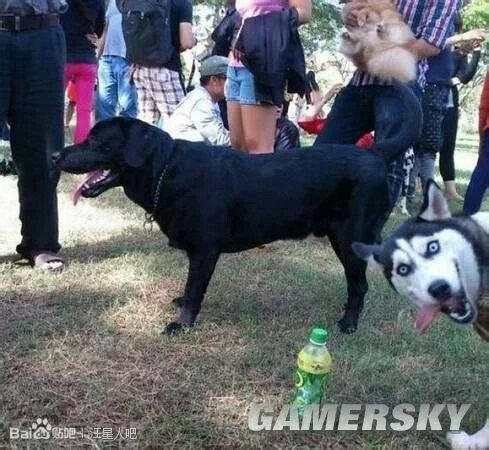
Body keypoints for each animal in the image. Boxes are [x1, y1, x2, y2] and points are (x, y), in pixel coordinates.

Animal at [55, 82, 420, 335]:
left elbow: (194, 289)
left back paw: (348, 323)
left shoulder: (205, 250)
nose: (57, 154)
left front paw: (182, 324)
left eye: (96, 140)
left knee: (359, 285)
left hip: (349, 237)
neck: (166, 171)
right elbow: (189, 287)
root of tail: (374, 152)